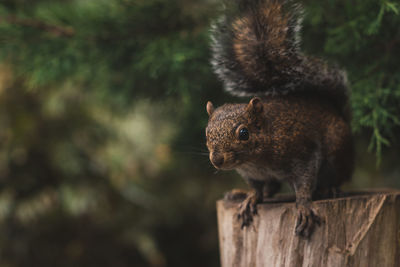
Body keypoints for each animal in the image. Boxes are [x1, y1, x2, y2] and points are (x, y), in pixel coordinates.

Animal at [206, 0, 354, 239]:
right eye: (206, 133)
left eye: (244, 133)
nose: (217, 159)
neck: (255, 161)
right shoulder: (252, 175)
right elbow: (257, 189)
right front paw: (251, 198)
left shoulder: (304, 152)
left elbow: (304, 183)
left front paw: (303, 205)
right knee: (272, 189)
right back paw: (239, 194)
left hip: (337, 149)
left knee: (338, 176)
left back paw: (329, 188)